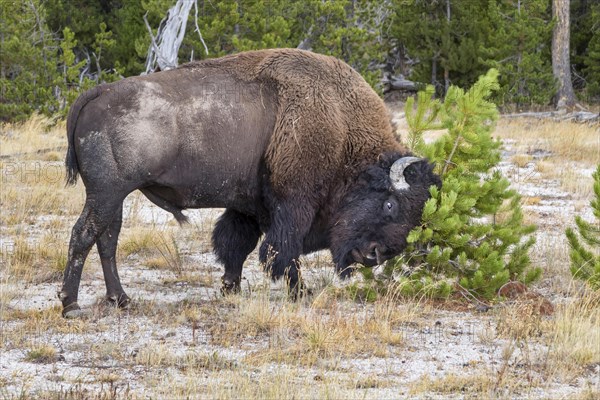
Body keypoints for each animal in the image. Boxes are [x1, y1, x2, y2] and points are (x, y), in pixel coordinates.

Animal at [57, 48, 440, 318]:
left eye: (416, 214)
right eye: (390, 203)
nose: (376, 254)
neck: (341, 126)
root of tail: (97, 92)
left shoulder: (249, 207)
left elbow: (235, 244)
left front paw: (230, 287)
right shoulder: (293, 205)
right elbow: (281, 251)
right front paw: (300, 292)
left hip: (114, 198)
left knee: (106, 240)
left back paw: (120, 299)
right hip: (106, 194)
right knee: (83, 235)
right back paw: (71, 305)